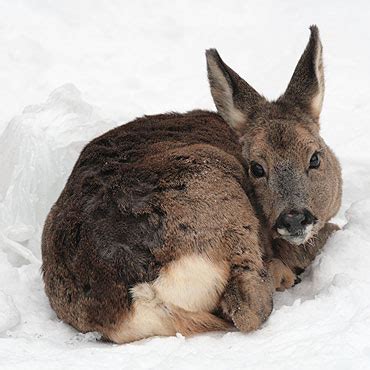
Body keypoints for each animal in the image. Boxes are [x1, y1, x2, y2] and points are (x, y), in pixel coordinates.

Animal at [40, 26, 342, 344]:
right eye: (256, 168)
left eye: (315, 158)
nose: (293, 218)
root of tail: (135, 298)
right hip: (221, 199)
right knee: (247, 306)